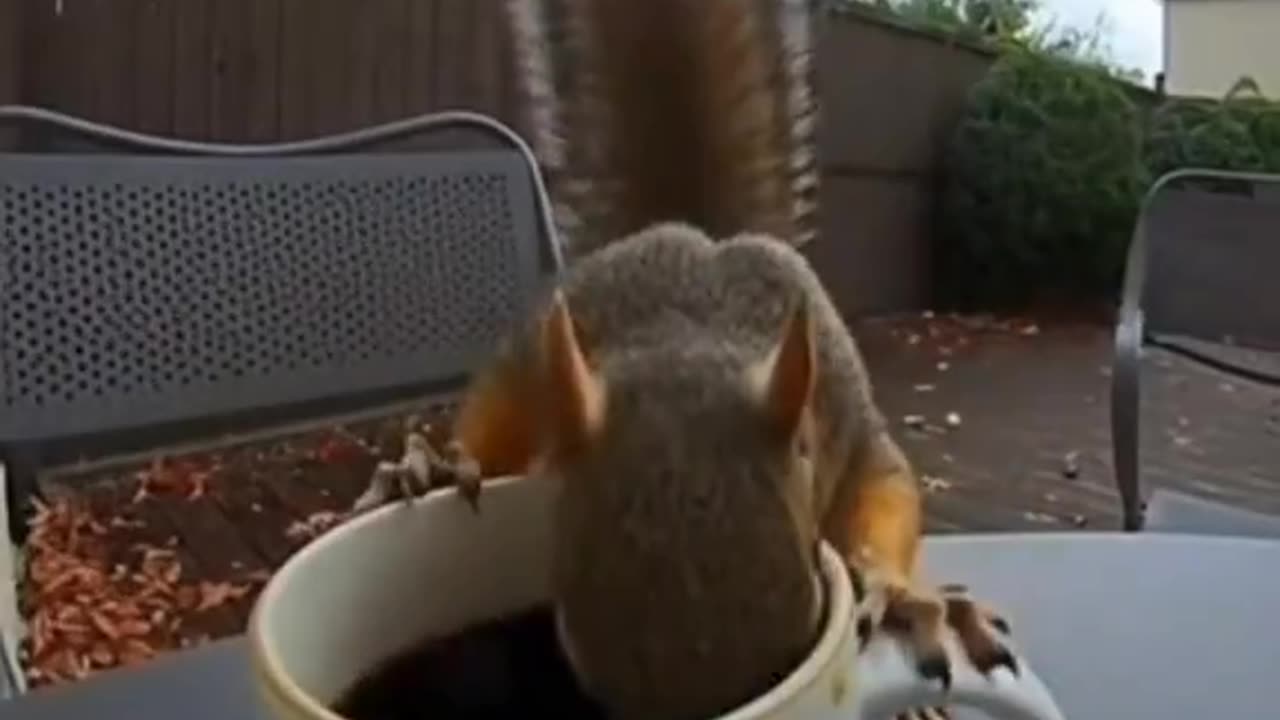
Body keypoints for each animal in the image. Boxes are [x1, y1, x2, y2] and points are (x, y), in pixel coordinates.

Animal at [447, 1, 1017, 718]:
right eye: (574, 653)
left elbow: (884, 489)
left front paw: (899, 595)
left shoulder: (846, 414)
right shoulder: (538, 366)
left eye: (810, 610)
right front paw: (439, 464)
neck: (689, 336)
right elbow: (491, 419)